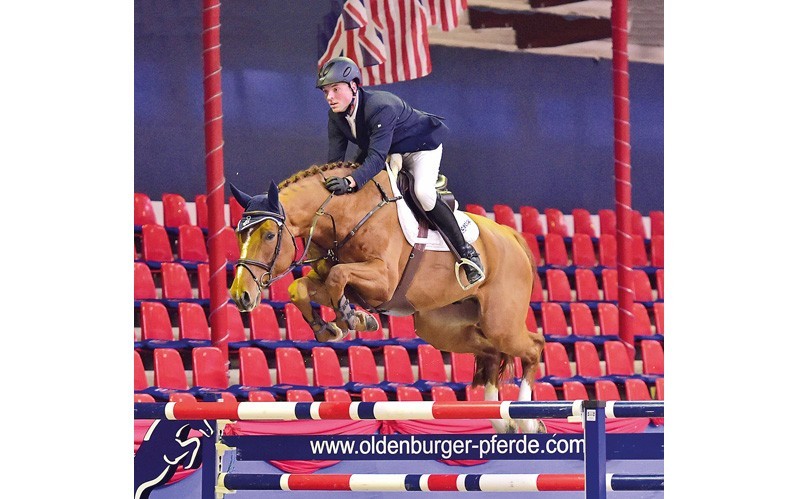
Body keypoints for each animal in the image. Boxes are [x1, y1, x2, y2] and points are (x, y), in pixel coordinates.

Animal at [228, 161, 546, 433]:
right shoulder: (333, 278)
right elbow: (303, 287)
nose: (240, 295)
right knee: (492, 354)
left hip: (500, 323)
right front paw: (333, 326)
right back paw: (502, 421)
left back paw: (528, 421)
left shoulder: (383, 281)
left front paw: (352, 318)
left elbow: (338, 276)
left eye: (269, 236)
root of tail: (511, 235)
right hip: (441, 328)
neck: (347, 212)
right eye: (239, 235)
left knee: (534, 346)